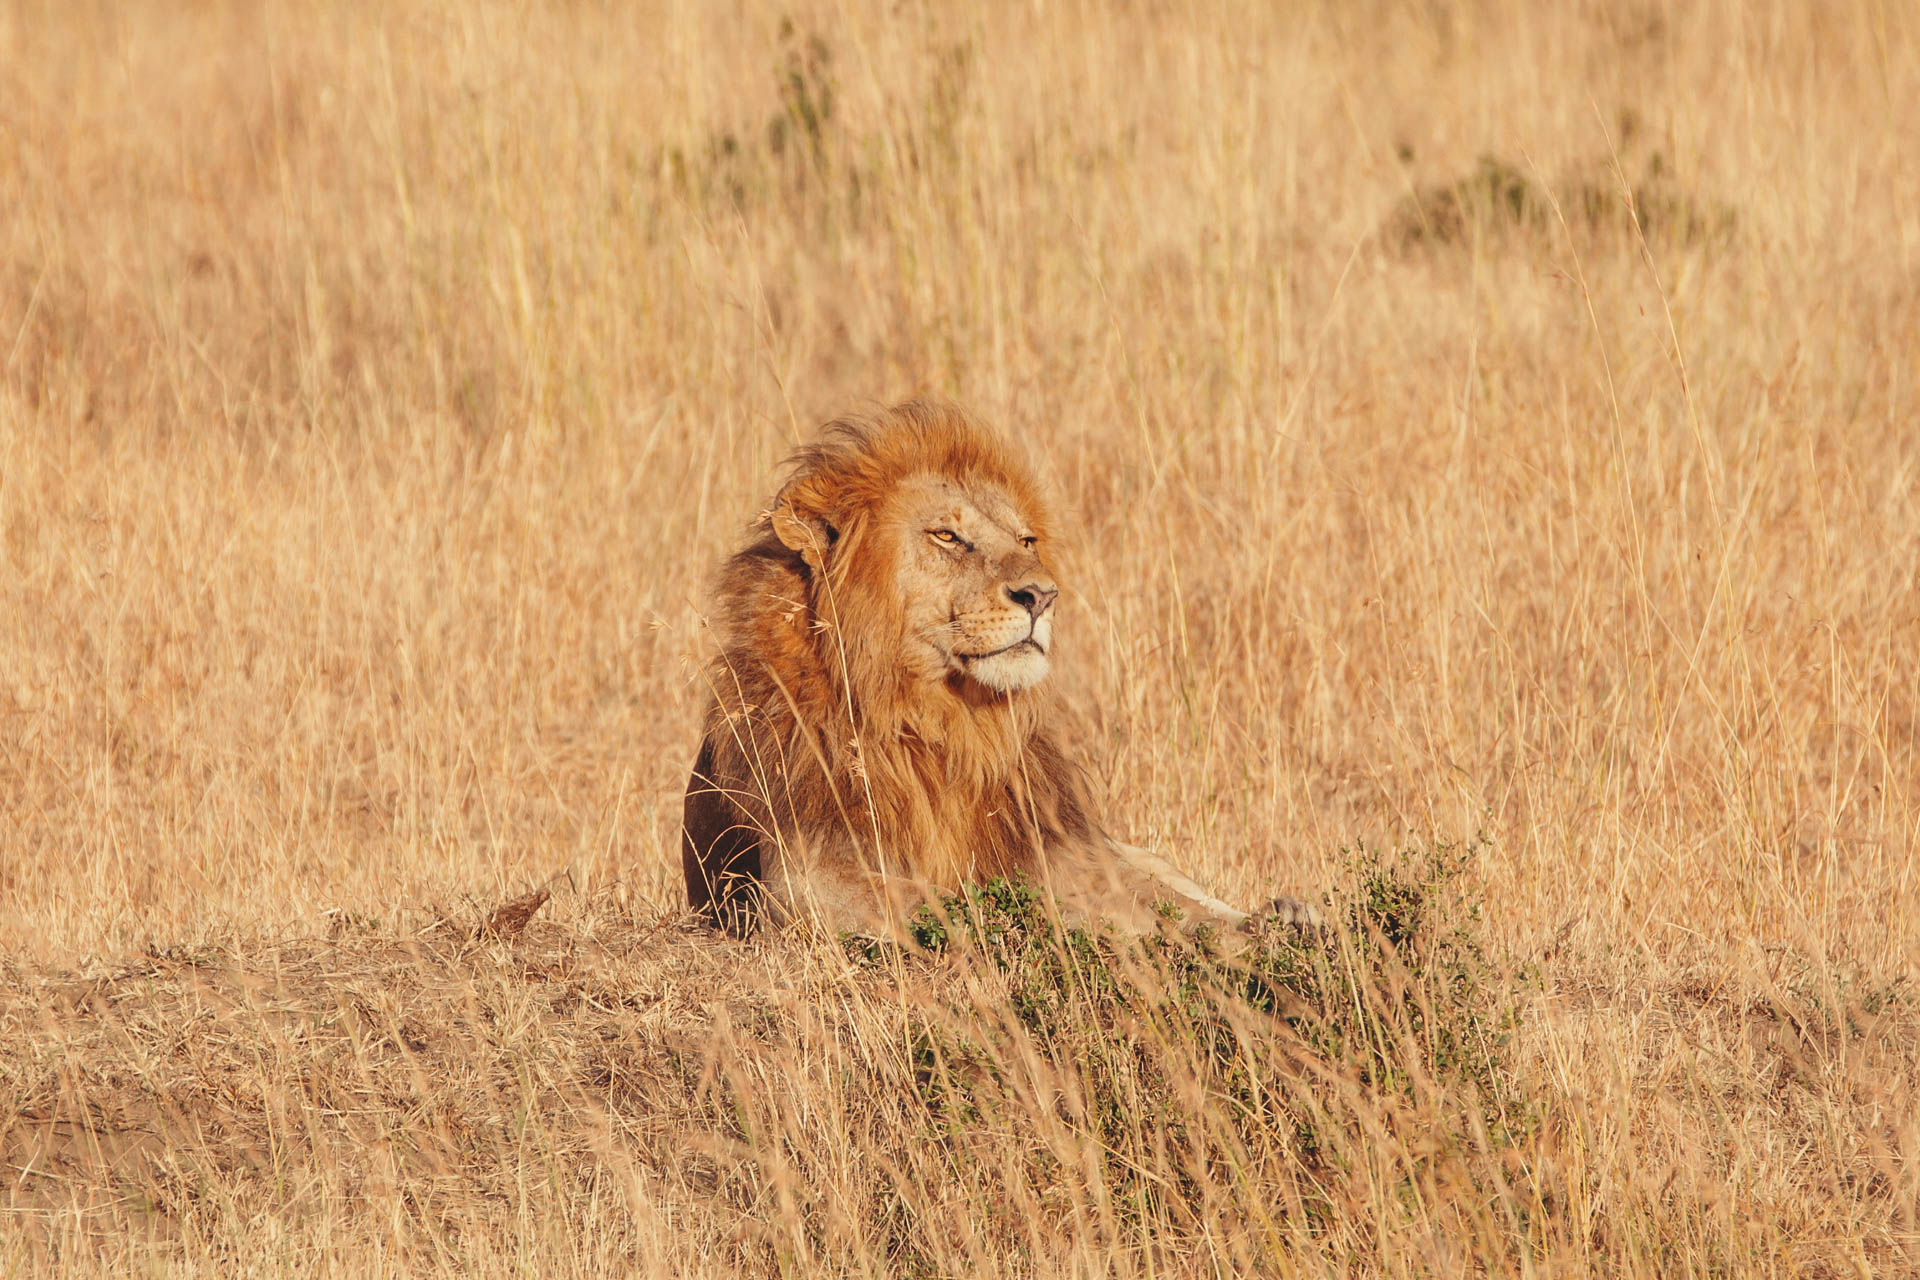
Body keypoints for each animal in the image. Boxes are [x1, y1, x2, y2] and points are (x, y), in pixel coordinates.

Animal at [681, 399, 1318, 942]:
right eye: (947, 535)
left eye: (1026, 540)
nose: (1042, 595)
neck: (939, 721)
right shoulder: (804, 873)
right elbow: (946, 899)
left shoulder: (1063, 848)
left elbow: (1150, 898)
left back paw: (1289, 913)